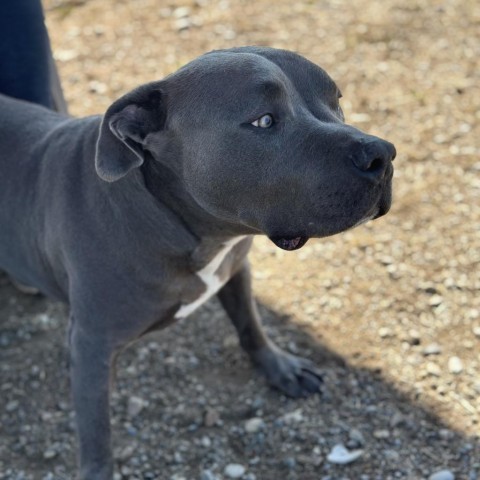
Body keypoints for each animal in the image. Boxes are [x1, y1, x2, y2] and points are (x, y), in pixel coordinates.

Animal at [0, 46, 396, 480]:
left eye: (336, 100)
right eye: (263, 120)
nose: (381, 154)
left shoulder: (235, 270)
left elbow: (250, 324)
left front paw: (279, 367)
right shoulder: (91, 347)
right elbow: (96, 434)